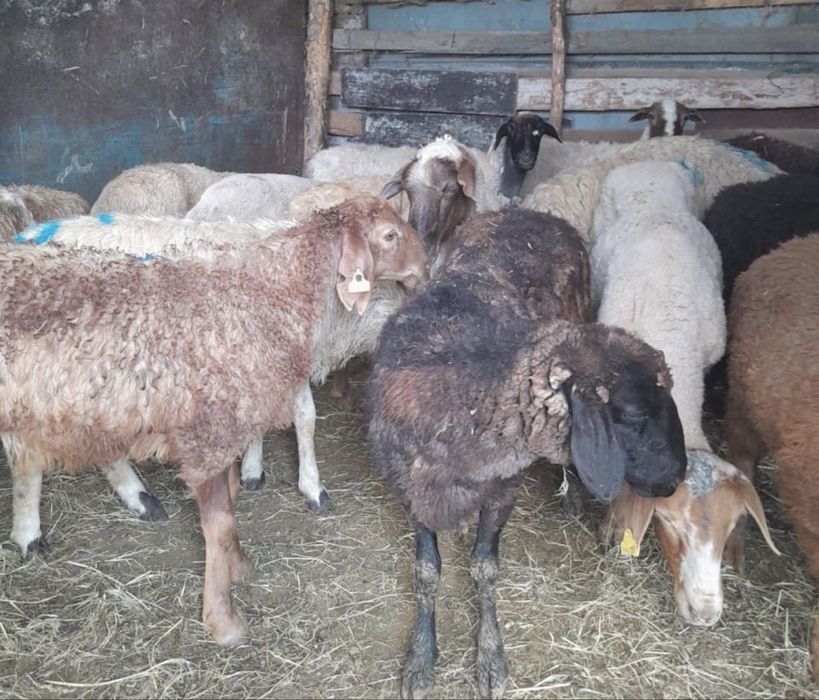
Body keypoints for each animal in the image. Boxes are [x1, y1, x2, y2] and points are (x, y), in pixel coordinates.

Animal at [0, 196, 427, 646]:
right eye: (390, 235)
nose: (426, 264)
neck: (275, 287)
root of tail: (28, 235)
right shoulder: (208, 435)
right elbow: (220, 519)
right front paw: (223, 619)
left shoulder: (231, 423)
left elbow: (235, 498)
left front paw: (237, 561)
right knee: (28, 460)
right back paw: (31, 533)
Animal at [366, 207, 687, 699]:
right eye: (632, 414)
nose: (677, 475)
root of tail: (528, 211)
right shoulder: (414, 491)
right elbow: (426, 570)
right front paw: (420, 658)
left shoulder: (502, 491)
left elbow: (484, 568)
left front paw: (490, 657)